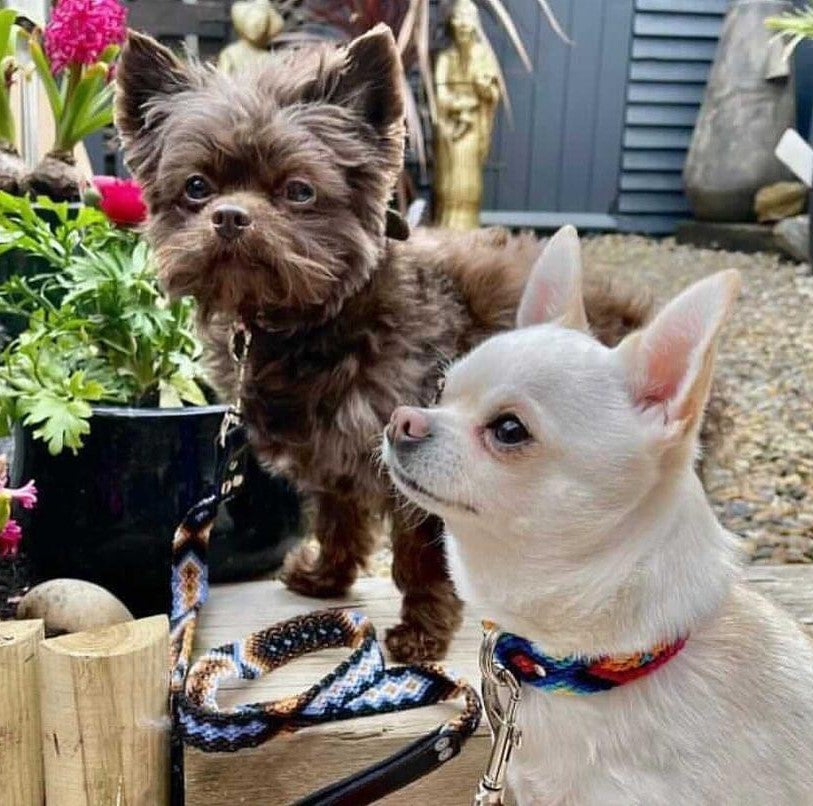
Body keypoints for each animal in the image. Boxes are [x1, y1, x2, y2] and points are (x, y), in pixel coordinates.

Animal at [112, 25, 648, 664]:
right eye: (196, 187)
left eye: (298, 190)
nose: (231, 216)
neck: (318, 317)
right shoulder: (333, 450)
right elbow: (338, 515)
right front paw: (326, 579)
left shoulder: (418, 455)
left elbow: (421, 556)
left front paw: (421, 635)